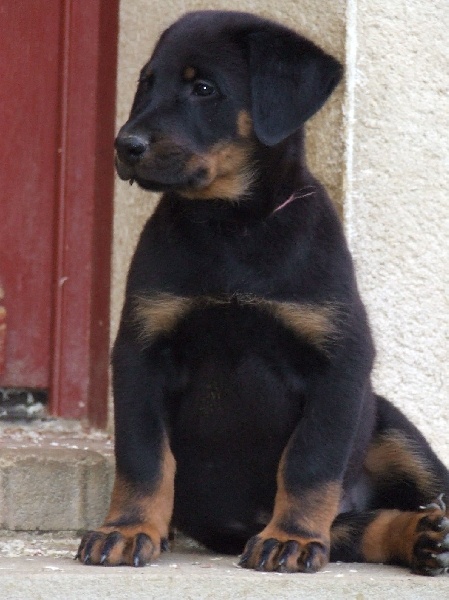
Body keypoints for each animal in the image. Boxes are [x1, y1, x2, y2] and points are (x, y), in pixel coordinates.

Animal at [77, 9, 448, 572]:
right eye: (146, 84)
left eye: (203, 88)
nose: (126, 146)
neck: (235, 226)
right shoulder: (141, 350)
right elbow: (144, 456)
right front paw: (128, 527)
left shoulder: (340, 360)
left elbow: (309, 462)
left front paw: (290, 537)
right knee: (356, 529)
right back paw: (422, 537)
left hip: (393, 430)